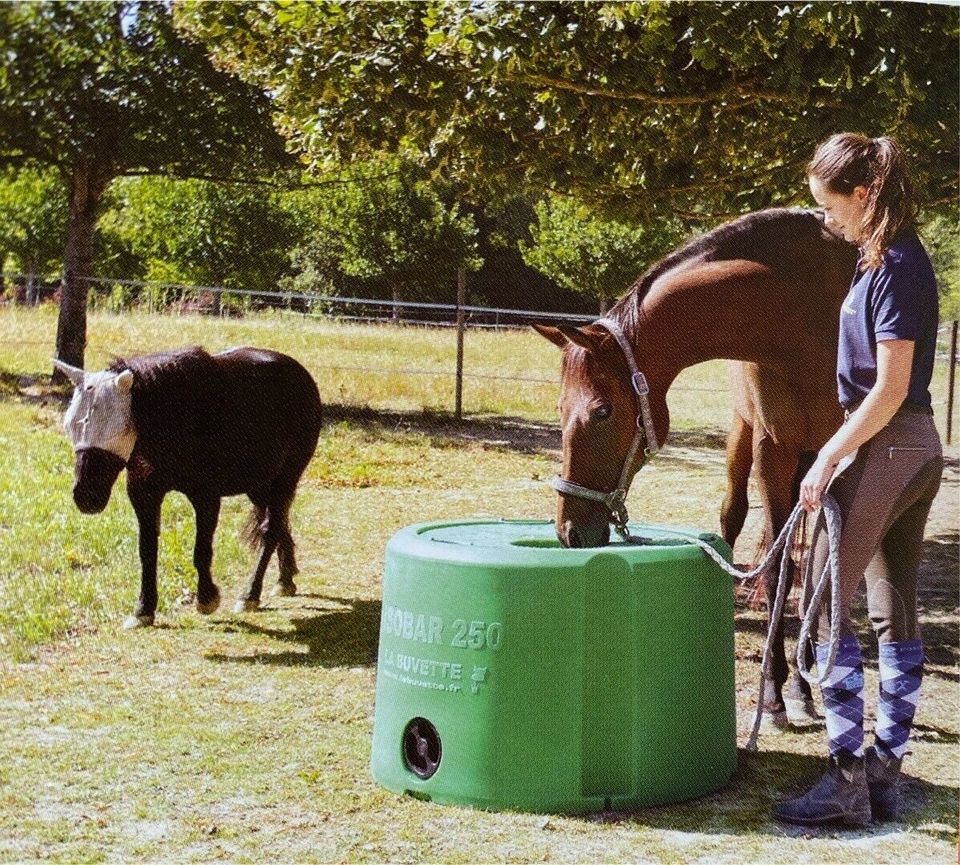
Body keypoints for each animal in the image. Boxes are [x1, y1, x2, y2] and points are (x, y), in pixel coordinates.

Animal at [56, 344, 322, 628]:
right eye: (71, 427)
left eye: (115, 431)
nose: (86, 496)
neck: (175, 418)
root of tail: (301, 375)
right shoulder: (144, 495)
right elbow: (147, 550)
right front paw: (143, 609)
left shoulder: (206, 497)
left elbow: (201, 551)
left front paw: (206, 598)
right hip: (259, 485)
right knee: (278, 523)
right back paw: (285, 578)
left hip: (285, 479)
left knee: (271, 529)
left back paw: (251, 594)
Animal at [536, 209, 860, 728]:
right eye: (559, 409)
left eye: (602, 411)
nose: (568, 532)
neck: (802, 315)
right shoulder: (772, 449)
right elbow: (777, 571)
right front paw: (773, 694)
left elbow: (815, 573)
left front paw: (796, 688)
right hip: (743, 438)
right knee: (734, 515)